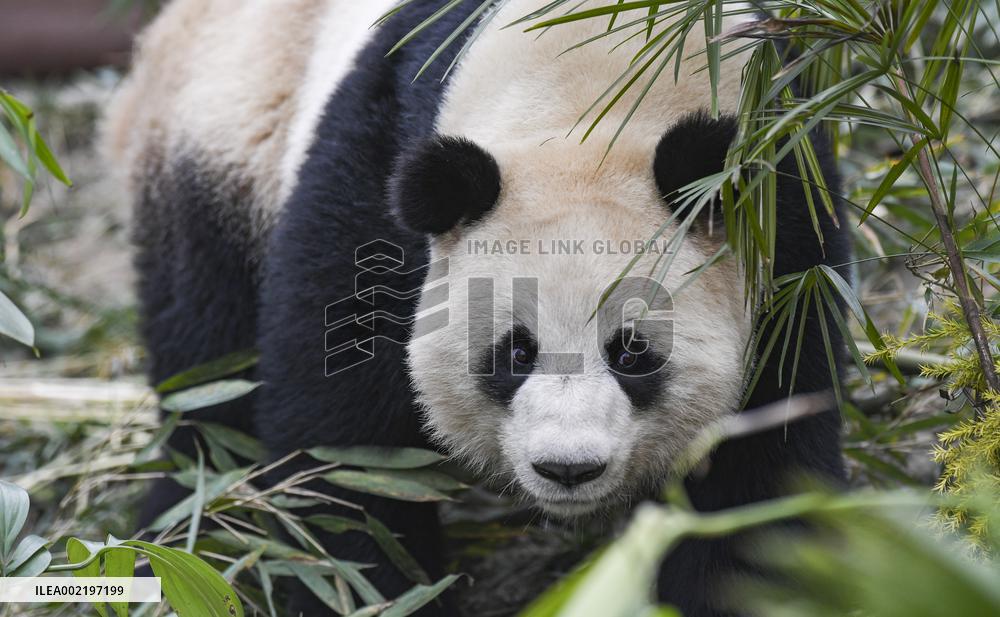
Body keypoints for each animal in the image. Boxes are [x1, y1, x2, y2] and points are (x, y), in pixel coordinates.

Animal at [104, 1, 849, 616]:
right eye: (515, 351)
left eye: (632, 352)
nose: (568, 469)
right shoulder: (376, 180)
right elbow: (343, 449)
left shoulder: (786, 206)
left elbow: (764, 459)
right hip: (223, 149)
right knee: (208, 362)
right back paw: (188, 531)